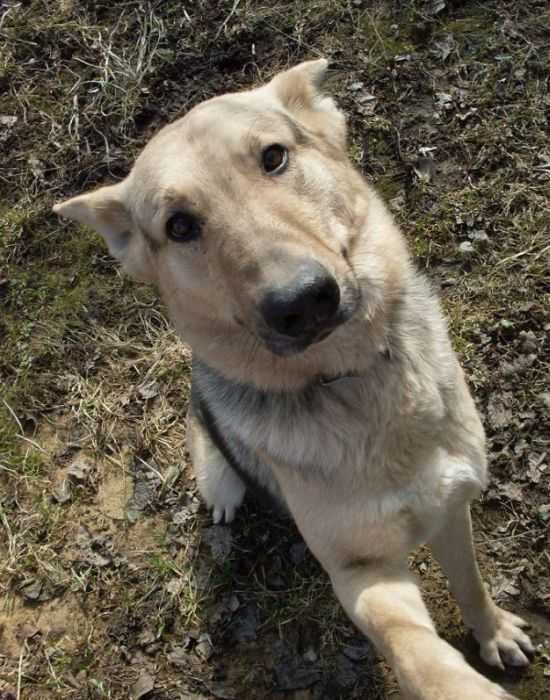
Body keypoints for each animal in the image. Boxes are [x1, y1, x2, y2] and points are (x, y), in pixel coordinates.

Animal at [54, 59, 534, 699]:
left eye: (274, 157)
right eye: (179, 226)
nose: (301, 303)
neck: (351, 382)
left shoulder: (451, 510)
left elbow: (471, 583)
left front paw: (492, 631)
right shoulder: (361, 572)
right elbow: (410, 646)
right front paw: (455, 683)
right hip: (212, 459)